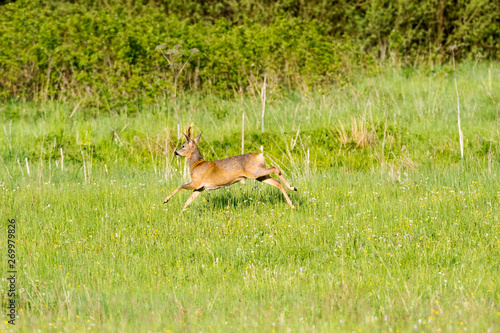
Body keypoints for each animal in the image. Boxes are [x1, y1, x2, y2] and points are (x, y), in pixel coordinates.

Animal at [164, 127, 296, 210]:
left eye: (183, 146)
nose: (175, 152)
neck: (196, 164)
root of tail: (260, 155)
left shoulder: (196, 182)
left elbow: (180, 186)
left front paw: (165, 200)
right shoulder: (200, 187)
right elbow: (188, 201)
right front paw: (181, 213)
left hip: (255, 172)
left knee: (275, 167)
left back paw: (292, 188)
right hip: (260, 176)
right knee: (277, 182)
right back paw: (291, 200)